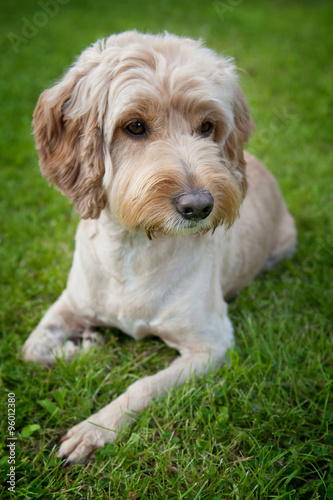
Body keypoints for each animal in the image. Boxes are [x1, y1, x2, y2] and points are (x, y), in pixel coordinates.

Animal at [21, 30, 296, 464]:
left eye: (207, 126)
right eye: (134, 126)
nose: (199, 206)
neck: (133, 250)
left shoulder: (211, 345)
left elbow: (143, 385)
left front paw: (95, 428)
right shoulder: (70, 303)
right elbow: (31, 349)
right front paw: (83, 348)